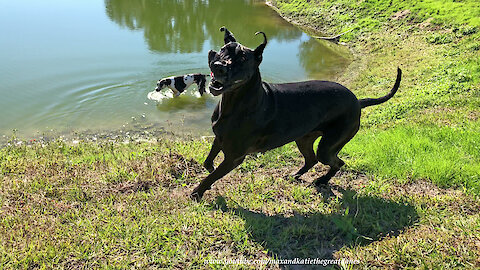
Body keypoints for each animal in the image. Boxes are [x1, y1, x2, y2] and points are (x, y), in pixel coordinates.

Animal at [191, 27, 402, 200]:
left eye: (242, 59)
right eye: (223, 50)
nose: (218, 65)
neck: (234, 103)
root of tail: (358, 101)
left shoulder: (234, 157)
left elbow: (211, 176)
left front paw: (197, 192)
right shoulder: (219, 137)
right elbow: (208, 162)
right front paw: (208, 168)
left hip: (329, 145)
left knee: (337, 162)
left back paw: (322, 180)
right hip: (304, 138)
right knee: (312, 159)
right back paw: (297, 175)